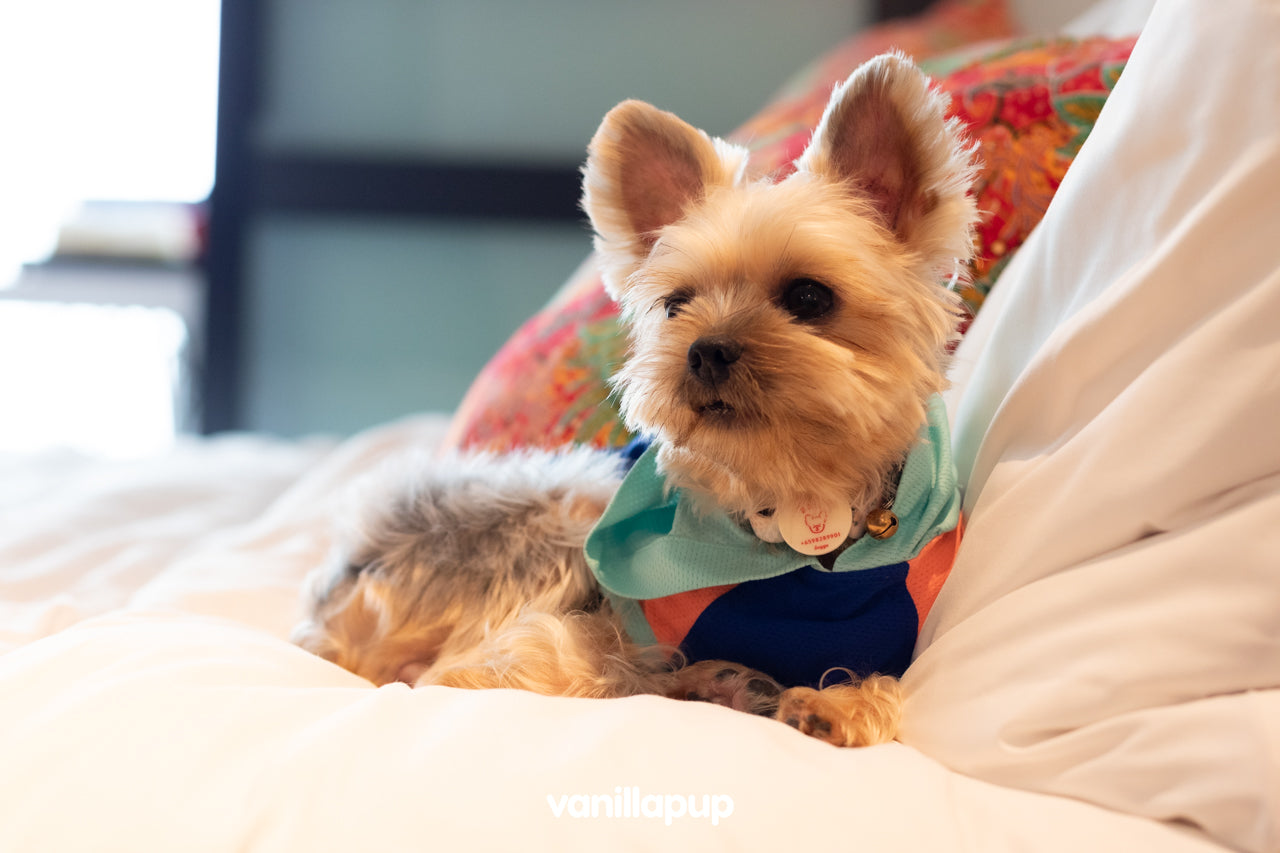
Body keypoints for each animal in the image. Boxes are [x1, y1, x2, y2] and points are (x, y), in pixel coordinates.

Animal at [294, 54, 977, 742]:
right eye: (676, 305)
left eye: (810, 297)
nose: (704, 351)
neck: (790, 500)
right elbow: (560, 660)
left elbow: (887, 682)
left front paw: (836, 707)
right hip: (569, 502)